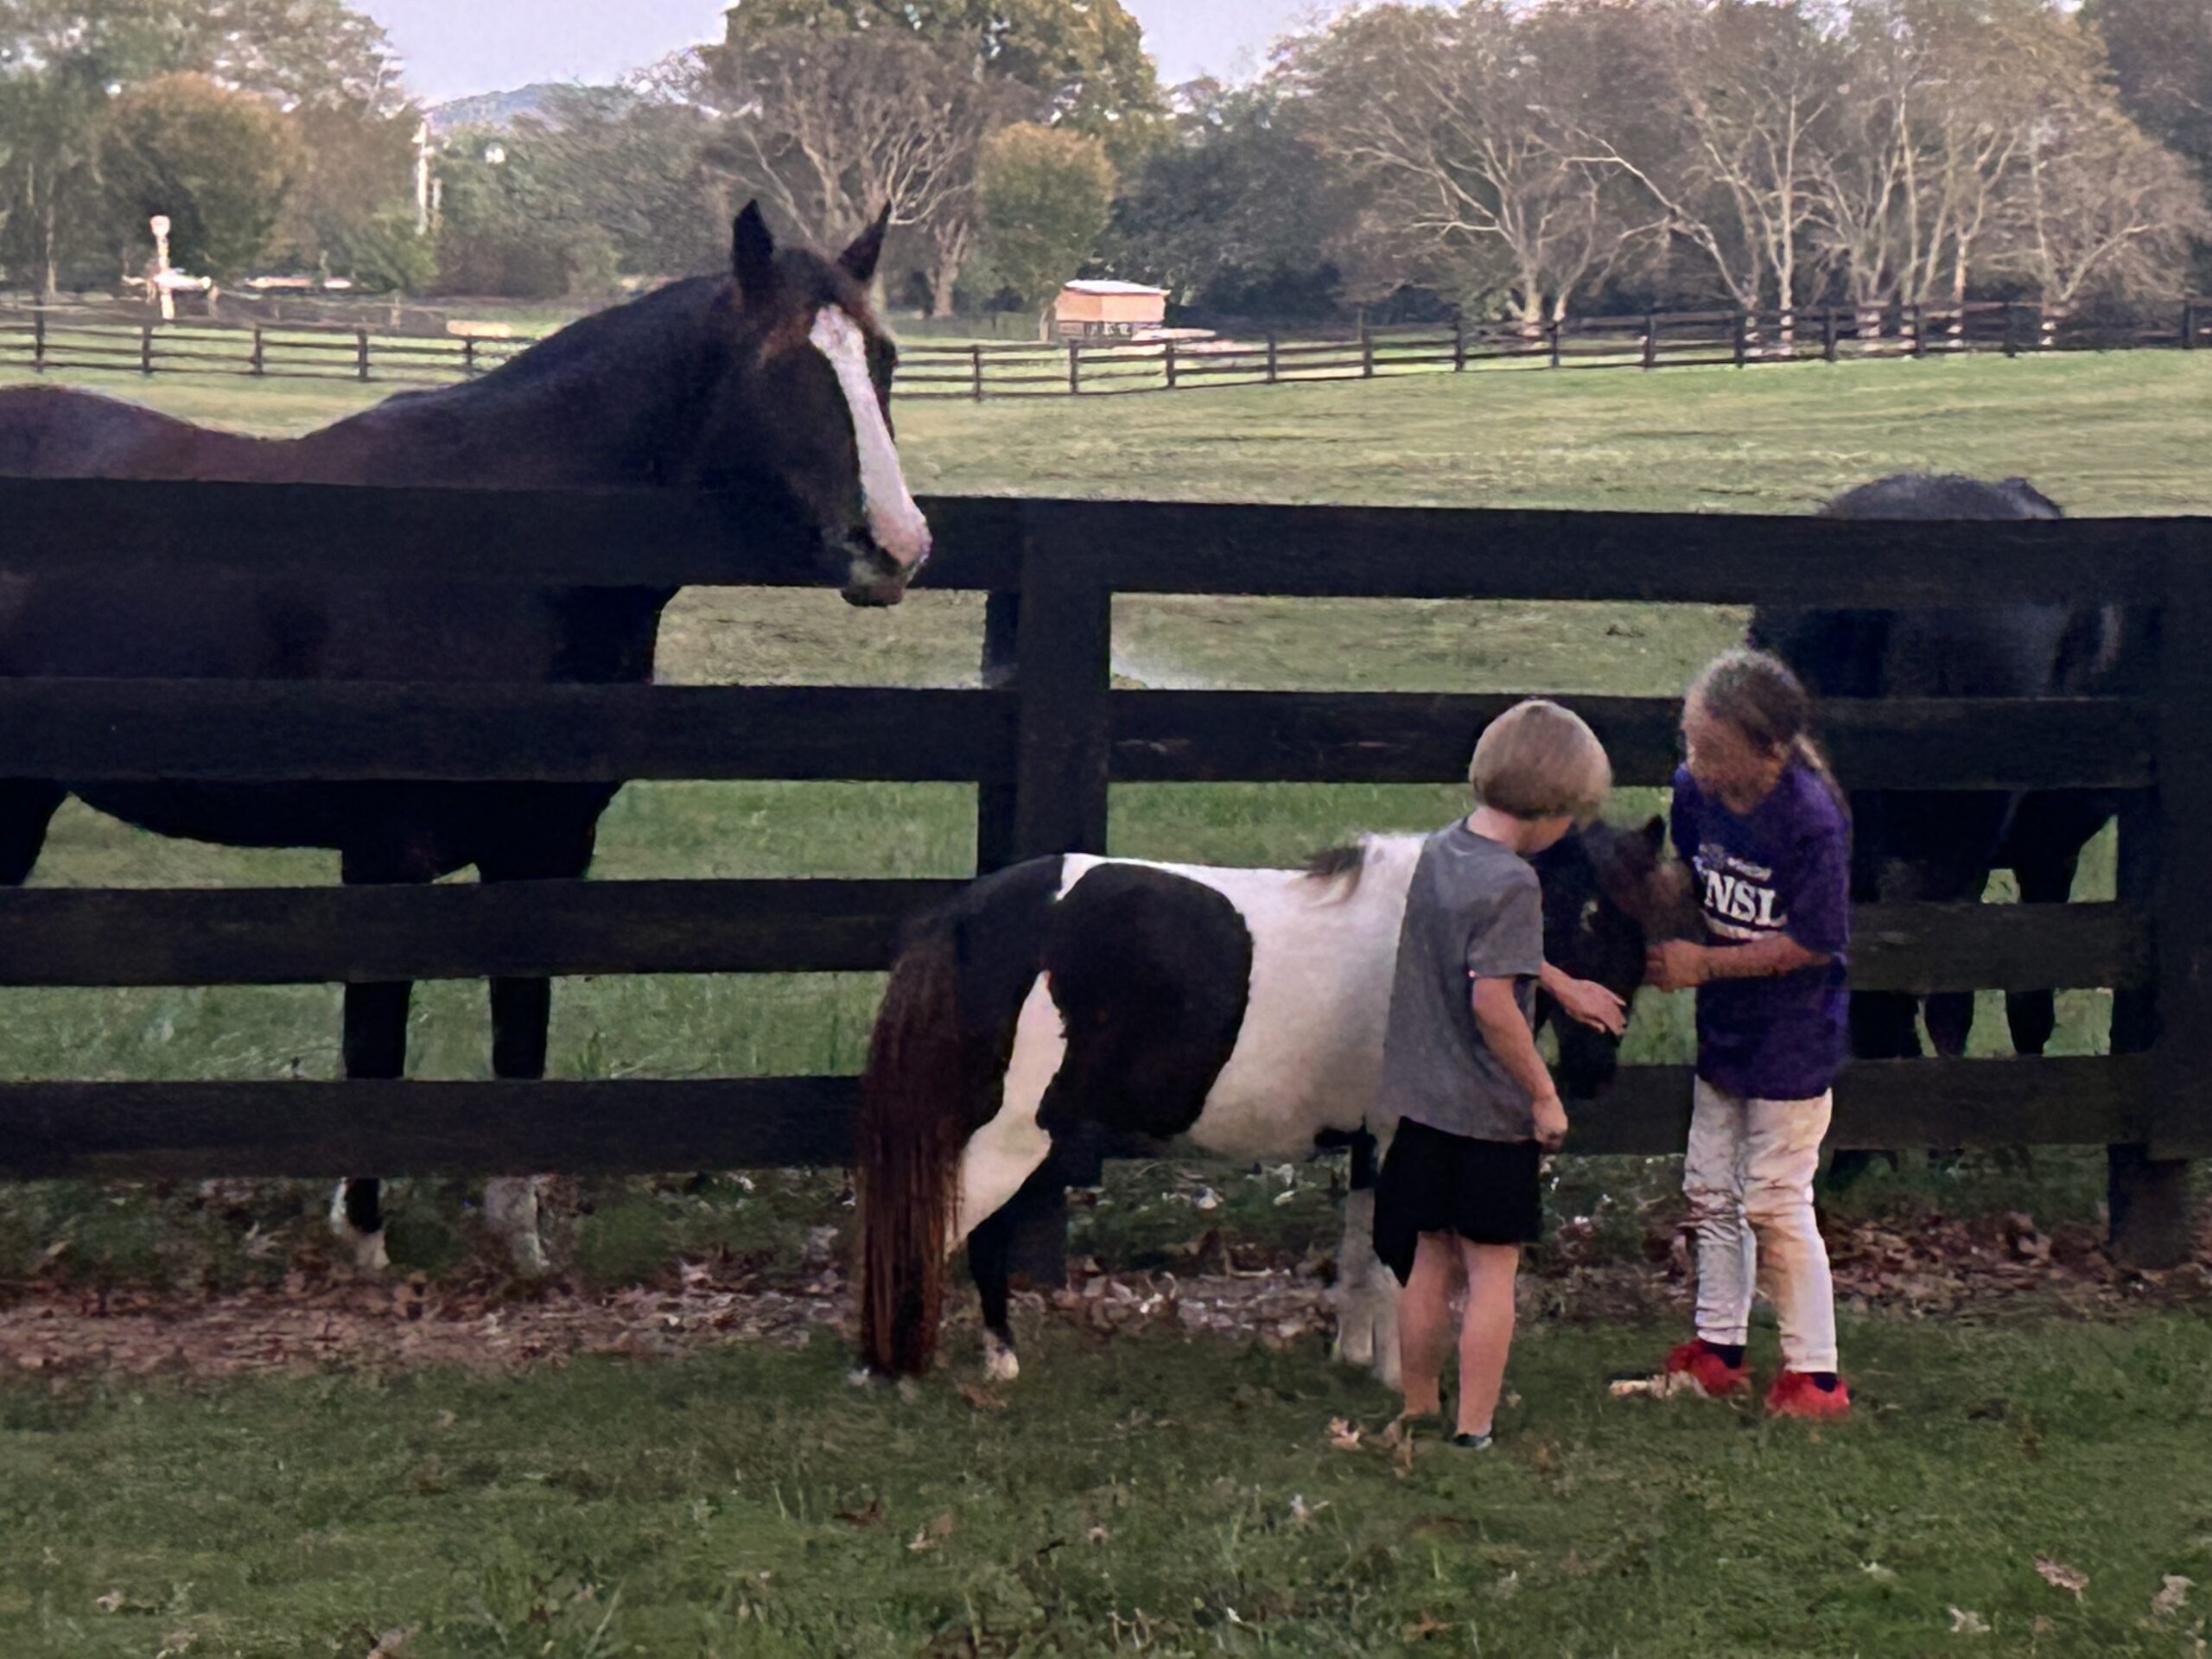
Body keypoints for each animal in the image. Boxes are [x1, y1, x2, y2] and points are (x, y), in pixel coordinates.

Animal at [0, 202, 933, 1273]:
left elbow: (521, 1025)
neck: (496, 551)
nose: (895, 546)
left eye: (884, 357)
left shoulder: (547, 849)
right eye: (782, 365)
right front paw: (364, 1237)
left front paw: (518, 1239)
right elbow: (375, 1039)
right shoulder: (386, 857)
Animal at [853, 819, 1689, 1385]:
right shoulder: (1399, 1140)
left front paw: (1353, 1357)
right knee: (936, 1234)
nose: (1593, 1070)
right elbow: (1394, 1262)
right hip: (1011, 1138)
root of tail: (968, 919)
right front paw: (1396, 1379)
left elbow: (1359, 1255)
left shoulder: (1366, 1143)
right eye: (1574, 915)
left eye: (1638, 924)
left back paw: (998, 1361)